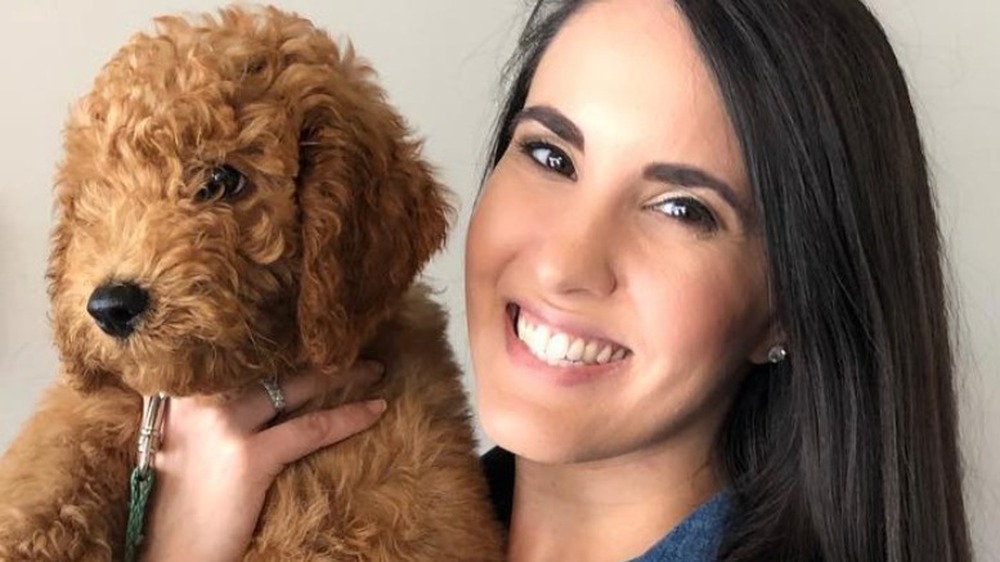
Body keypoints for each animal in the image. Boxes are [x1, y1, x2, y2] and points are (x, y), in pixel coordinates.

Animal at [0, 5, 504, 560]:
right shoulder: (106, 409)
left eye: (222, 181)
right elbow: (52, 458)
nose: (110, 305)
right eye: (99, 194)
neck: (250, 378)